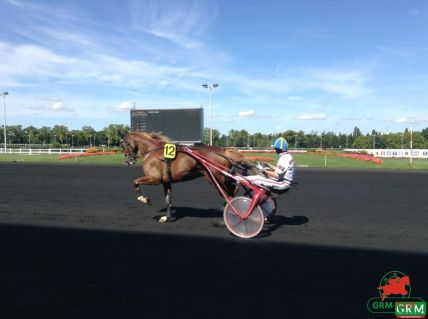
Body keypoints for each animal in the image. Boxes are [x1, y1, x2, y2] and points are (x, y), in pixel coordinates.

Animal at [118, 131, 256, 224]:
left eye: (123, 145)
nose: (128, 161)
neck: (153, 151)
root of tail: (223, 151)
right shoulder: (166, 182)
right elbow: (168, 199)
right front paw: (166, 217)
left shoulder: (154, 178)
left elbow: (135, 182)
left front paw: (144, 199)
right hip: (219, 177)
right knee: (233, 189)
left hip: (216, 178)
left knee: (230, 192)